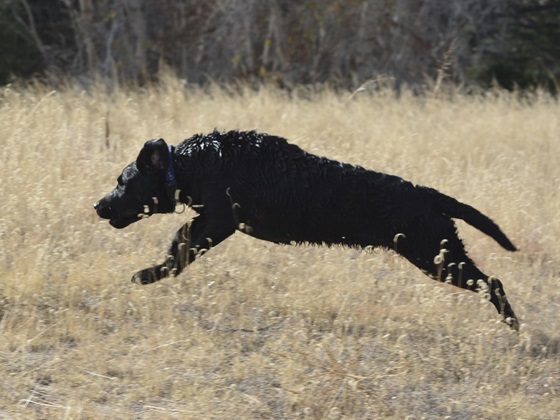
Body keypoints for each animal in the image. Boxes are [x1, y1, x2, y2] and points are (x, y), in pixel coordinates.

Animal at [94, 130, 520, 330]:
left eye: (122, 181)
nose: (98, 205)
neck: (192, 163)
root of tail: (428, 195)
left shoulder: (217, 222)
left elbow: (178, 255)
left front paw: (146, 275)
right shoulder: (208, 222)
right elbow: (177, 249)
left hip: (436, 256)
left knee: (493, 282)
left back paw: (513, 324)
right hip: (439, 254)